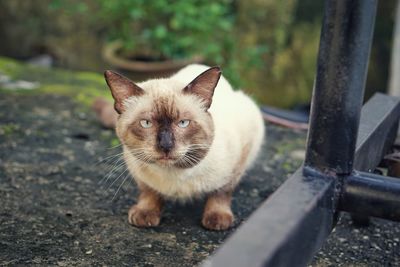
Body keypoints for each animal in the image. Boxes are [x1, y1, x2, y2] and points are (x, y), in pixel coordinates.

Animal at [104, 64, 266, 230]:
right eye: (146, 123)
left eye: (183, 123)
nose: (166, 145)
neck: (174, 173)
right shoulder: (137, 169)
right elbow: (149, 191)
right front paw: (145, 213)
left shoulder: (238, 162)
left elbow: (221, 192)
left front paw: (217, 219)